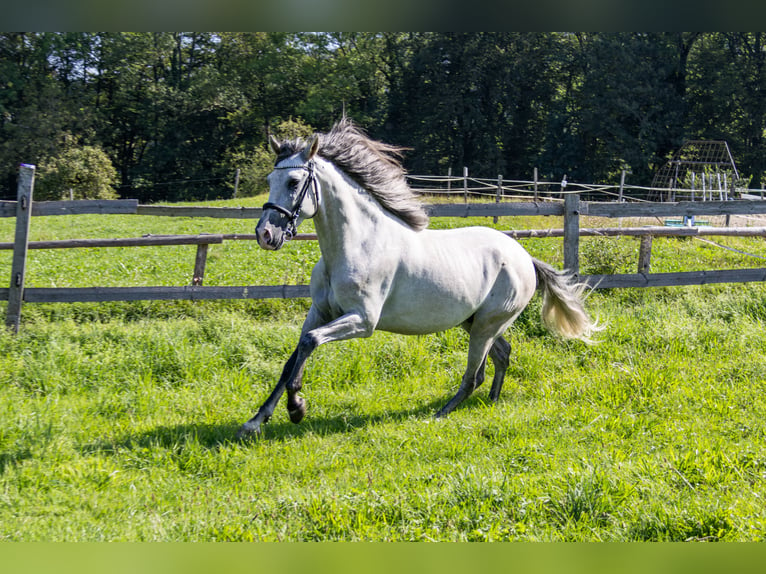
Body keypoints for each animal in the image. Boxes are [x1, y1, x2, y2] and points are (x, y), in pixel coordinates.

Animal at [237, 119, 596, 438]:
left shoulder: (363, 321)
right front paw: (255, 422)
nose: (265, 235)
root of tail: (523, 256)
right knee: (502, 354)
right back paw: (491, 402)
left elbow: (310, 343)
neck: (356, 244)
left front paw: (297, 408)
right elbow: (294, 357)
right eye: (270, 179)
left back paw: (438, 415)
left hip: (487, 324)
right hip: (474, 321)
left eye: (294, 182)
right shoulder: (320, 313)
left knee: (473, 376)